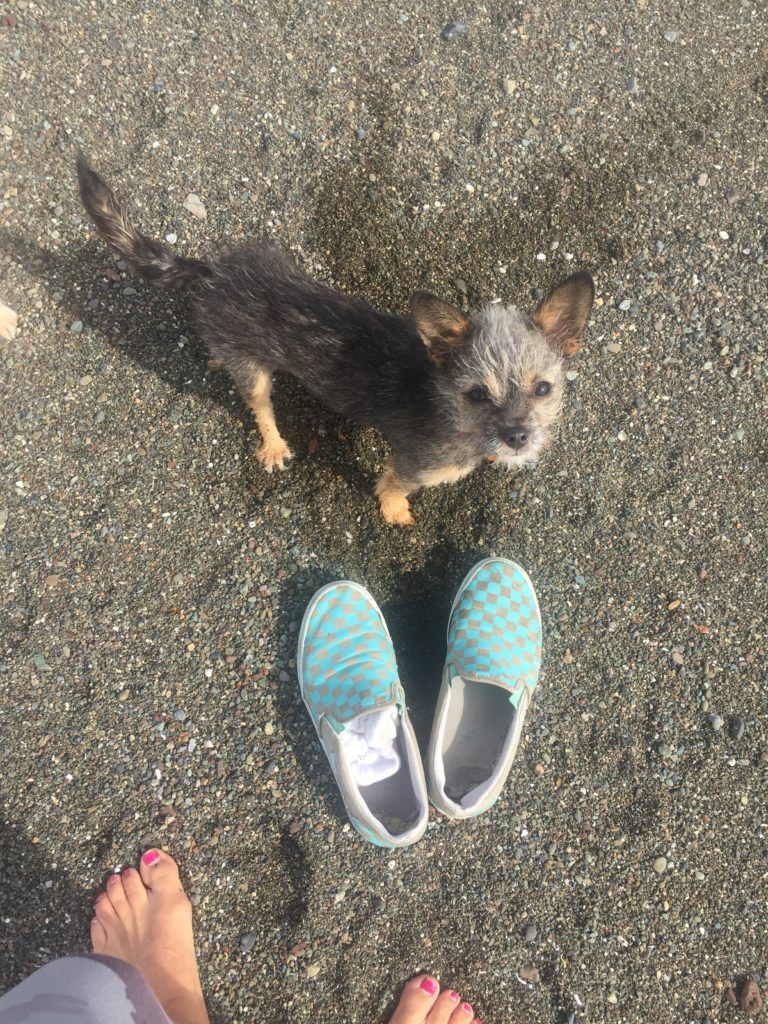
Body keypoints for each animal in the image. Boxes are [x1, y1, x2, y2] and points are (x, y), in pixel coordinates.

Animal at [78, 159, 593, 528]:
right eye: (478, 395)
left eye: (543, 389)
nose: (518, 437)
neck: (446, 406)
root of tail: (210, 273)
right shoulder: (413, 466)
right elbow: (391, 488)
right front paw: (395, 513)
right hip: (253, 368)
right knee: (259, 403)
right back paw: (273, 444)